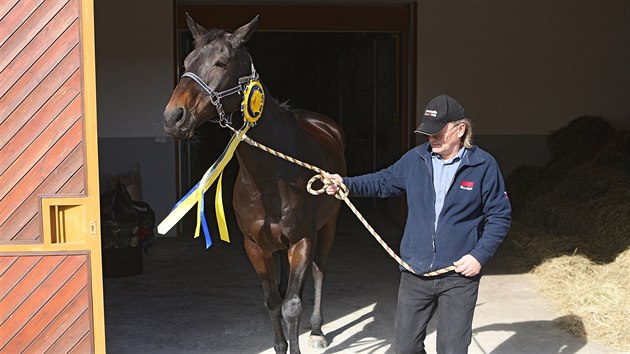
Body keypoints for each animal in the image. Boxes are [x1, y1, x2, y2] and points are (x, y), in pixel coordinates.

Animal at [163, 14, 348, 354]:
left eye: (222, 62)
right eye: (187, 61)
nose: (174, 117)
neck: (270, 176)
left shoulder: (304, 239)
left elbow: (292, 306)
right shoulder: (255, 246)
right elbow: (273, 301)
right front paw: (279, 345)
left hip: (328, 225)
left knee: (319, 271)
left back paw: (317, 330)